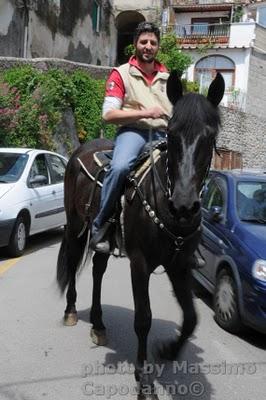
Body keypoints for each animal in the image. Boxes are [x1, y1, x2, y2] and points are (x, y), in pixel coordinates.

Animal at [56, 71, 224, 396]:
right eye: (171, 133)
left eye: (210, 137)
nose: (184, 205)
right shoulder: (140, 263)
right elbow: (143, 319)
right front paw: (144, 380)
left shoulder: (179, 265)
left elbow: (191, 318)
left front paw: (168, 351)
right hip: (75, 227)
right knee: (72, 262)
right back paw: (71, 311)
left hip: (103, 241)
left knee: (97, 270)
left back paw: (98, 324)